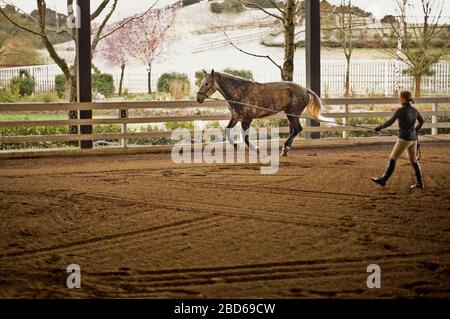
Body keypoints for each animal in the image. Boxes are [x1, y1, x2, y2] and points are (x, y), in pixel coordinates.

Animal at [197, 69, 326, 157]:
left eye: (206, 83)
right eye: (202, 82)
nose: (198, 98)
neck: (238, 92)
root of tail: (305, 90)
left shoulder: (247, 119)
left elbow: (245, 137)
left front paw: (257, 149)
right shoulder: (236, 117)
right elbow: (227, 131)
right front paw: (235, 145)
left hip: (292, 114)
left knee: (297, 129)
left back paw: (284, 148)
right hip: (291, 115)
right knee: (293, 130)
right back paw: (285, 150)